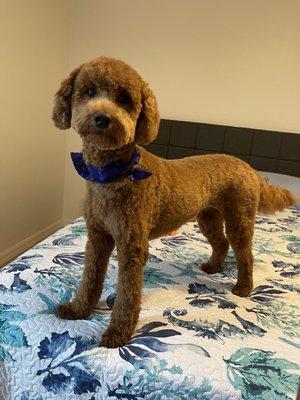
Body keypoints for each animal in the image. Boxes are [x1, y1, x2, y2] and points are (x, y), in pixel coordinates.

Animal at [51, 56, 296, 346]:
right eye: (89, 91)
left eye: (124, 99)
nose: (102, 118)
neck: (114, 173)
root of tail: (250, 168)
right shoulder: (98, 237)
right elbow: (89, 278)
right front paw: (78, 309)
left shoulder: (132, 246)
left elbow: (127, 295)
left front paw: (118, 333)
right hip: (209, 217)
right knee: (221, 243)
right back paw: (213, 267)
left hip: (240, 217)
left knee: (245, 253)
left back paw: (243, 288)